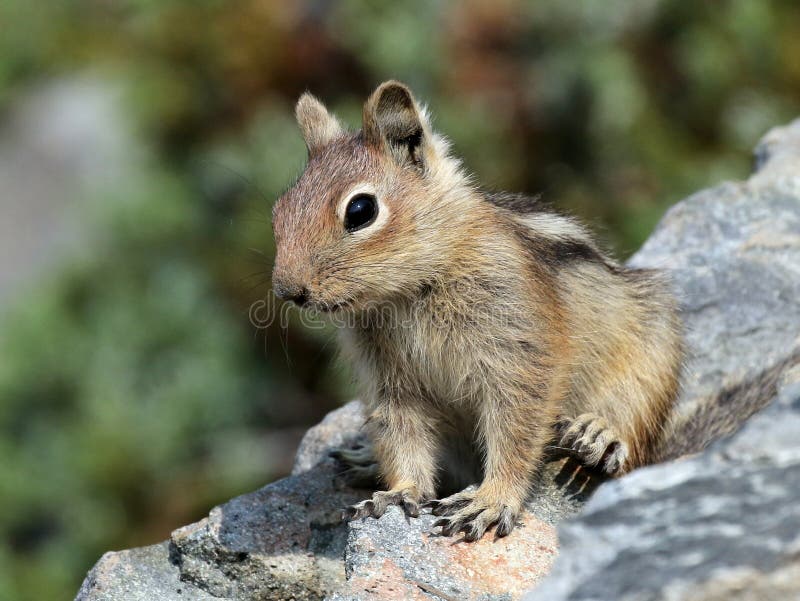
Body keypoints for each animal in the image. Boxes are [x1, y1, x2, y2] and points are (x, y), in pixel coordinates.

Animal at [272, 81, 684, 540]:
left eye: (361, 211)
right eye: (279, 210)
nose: (288, 290)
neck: (408, 294)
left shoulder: (518, 352)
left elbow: (516, 429)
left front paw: (490, 501)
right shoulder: (390, 382)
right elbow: (402, 435)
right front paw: (399, 492)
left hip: (653, 349)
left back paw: (599, 434)